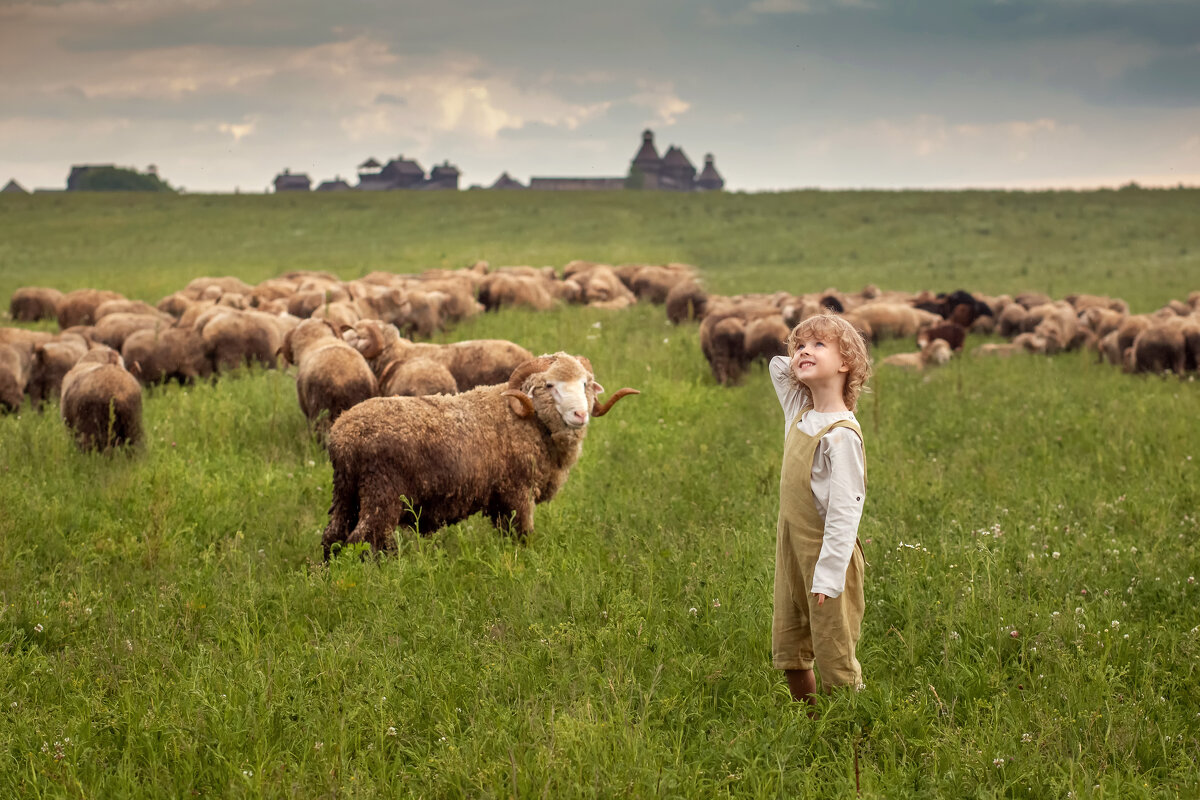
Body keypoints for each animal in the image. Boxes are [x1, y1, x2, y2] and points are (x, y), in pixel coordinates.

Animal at [319, 352, 638, 556]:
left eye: (585, 384)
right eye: (549, 385)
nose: (580, 415)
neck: (528, 420)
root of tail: (343, 435)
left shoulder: (500, 502)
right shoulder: (517, 492)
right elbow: (524, 537)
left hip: (347, 492)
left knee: (332, 537)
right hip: (381, 493)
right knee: (361, 540)